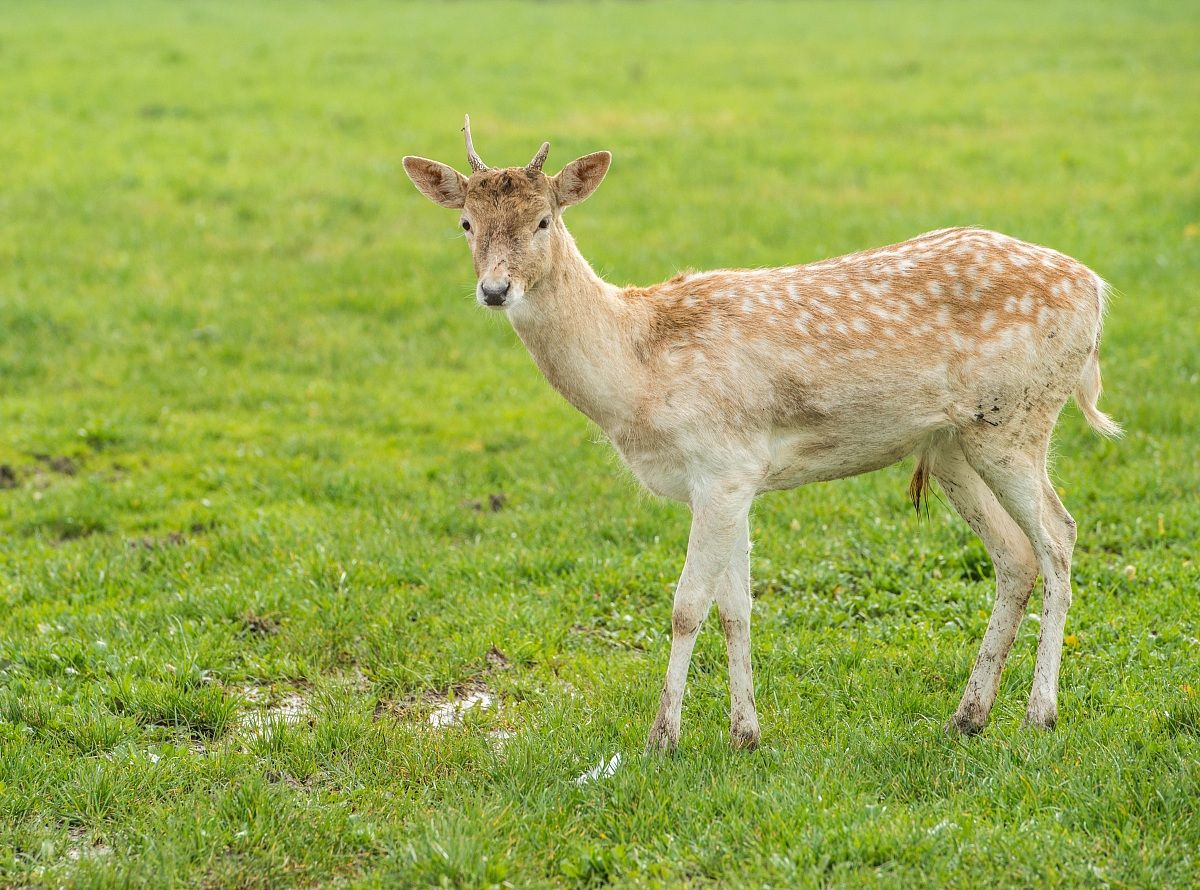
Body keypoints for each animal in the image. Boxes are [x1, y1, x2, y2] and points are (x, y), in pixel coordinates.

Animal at [402, 116, 1120, 752]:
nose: (496, 289)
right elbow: (736, 607)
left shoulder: (720, 465)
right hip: (953, 447)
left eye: (543, 220)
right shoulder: (738, 477)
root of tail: (1098, 292)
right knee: (1015, 556)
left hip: (1018, 419)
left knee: (1059, 537)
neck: (637, 375)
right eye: (466, 223)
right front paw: (745, 734)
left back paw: (1038, 716)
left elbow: (687, 604)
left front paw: (662, 739)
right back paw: (967, 717)